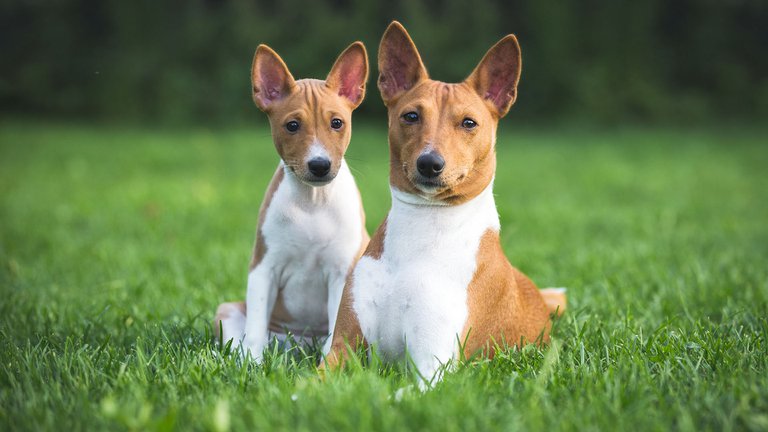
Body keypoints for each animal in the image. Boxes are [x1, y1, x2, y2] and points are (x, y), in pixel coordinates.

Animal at [214, 43, 370, 362]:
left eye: (337, 123)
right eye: (292, 125)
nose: (320, 165)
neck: (312, 202)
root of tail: (300, 344)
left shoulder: (341, 272)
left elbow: (336, 331)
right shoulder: (264, 268)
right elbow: (255, 330)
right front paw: (252, 365)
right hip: (229, 311)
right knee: (238, 338)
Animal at [320, 22, 568, 384]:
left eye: (469, 123)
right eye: (411, 116)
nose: (429, 163)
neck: (424, 225)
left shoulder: (431, 367)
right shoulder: (342, 349)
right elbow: (308, 384)